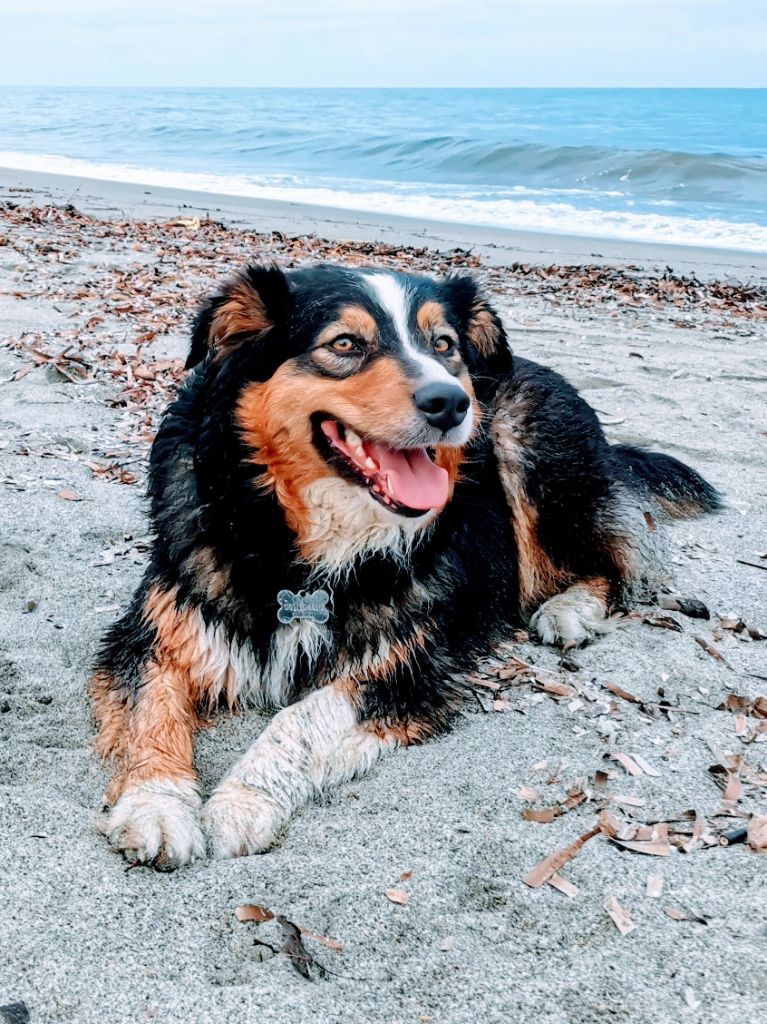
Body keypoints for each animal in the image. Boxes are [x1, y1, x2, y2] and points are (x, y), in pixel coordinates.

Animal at [89, 262, 716, 864]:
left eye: (444, 344)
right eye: (344, 344)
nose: (451, 402)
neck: (303, 539)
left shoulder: (407, 663)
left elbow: (302, 719)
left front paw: (242, 802)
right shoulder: (159, 629)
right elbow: (152, 711)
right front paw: (157, 806)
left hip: (535, 458)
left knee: (622, 564)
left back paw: (570, 611)